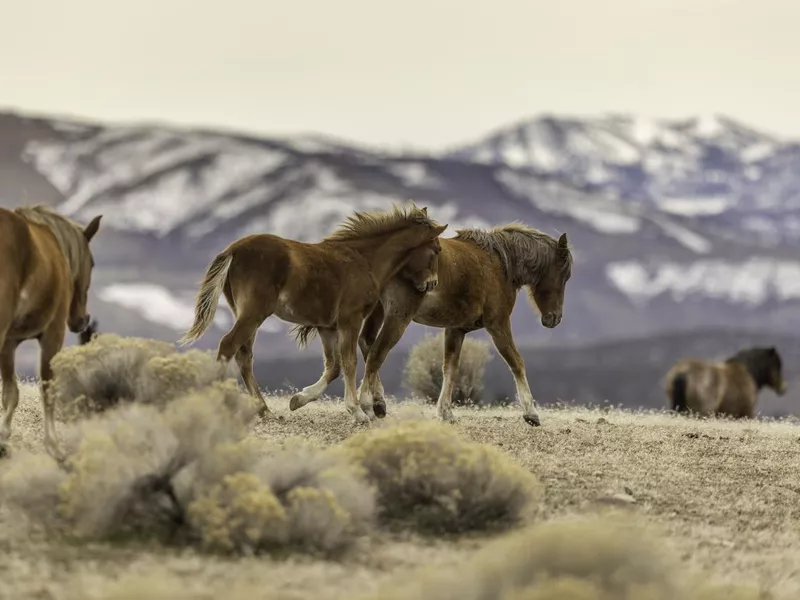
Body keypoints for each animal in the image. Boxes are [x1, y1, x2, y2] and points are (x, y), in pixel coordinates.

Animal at [0, 204, 103, 458]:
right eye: (92, 263)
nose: (82, 320)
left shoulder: (8, 343)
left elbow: (10, 393)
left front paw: (4, 438)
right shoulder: (52, 335)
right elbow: (47, 390)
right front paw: (53, 445)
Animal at [177, 202, 446, 422]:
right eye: (436, 250)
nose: (432, 283)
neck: (364, 260)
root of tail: (232, 250)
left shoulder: (327, 327)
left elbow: (334, 366)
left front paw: (299, 399)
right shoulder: (350, 319)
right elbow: (349, 362)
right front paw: (357, 411)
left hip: (245, 314)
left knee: (244, 355)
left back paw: (265, 410)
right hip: (254, 313)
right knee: (228, 346)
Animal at [290, 221, 572, 426]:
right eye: (564, 274)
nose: (554, 319)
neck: (499, 264)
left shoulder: (456, 329)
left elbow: (450, 368)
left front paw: (445, 411)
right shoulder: (498, 324)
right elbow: (516, 362)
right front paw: (531, 413)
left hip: (379, 312)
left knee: (367, 344)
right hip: (398, 317)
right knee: (376, 353)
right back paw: (366, 404)